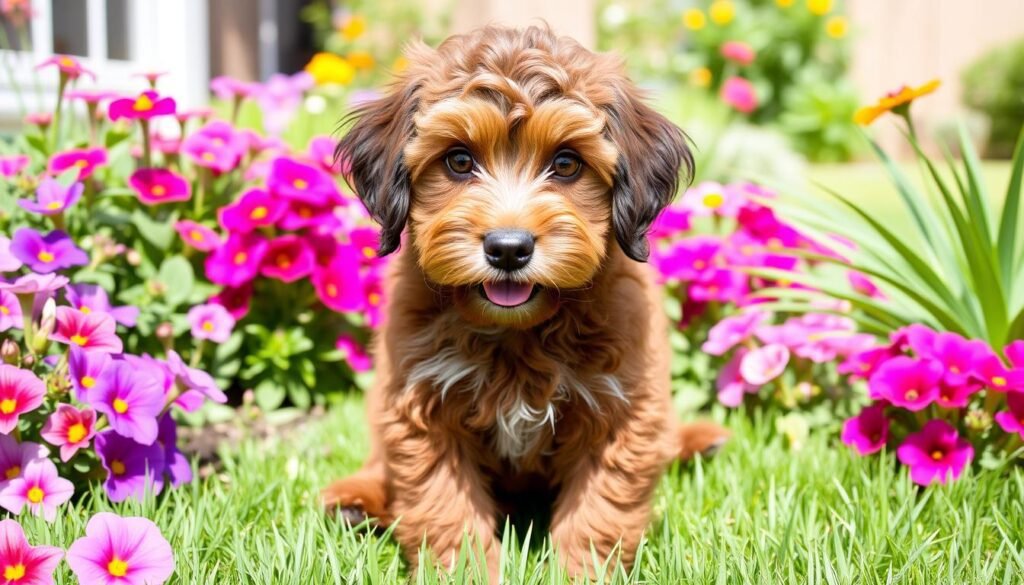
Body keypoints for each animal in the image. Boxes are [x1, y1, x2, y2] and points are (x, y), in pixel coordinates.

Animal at [323, 25, 733, 577]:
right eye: (458, 160)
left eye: (566, 163)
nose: (508, 248)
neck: (518, 333)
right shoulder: (420, 406)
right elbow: (445, 507)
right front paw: (470, 574)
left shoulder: (622, 411)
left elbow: (598, 514)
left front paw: (580, 574)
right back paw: (355, 501)